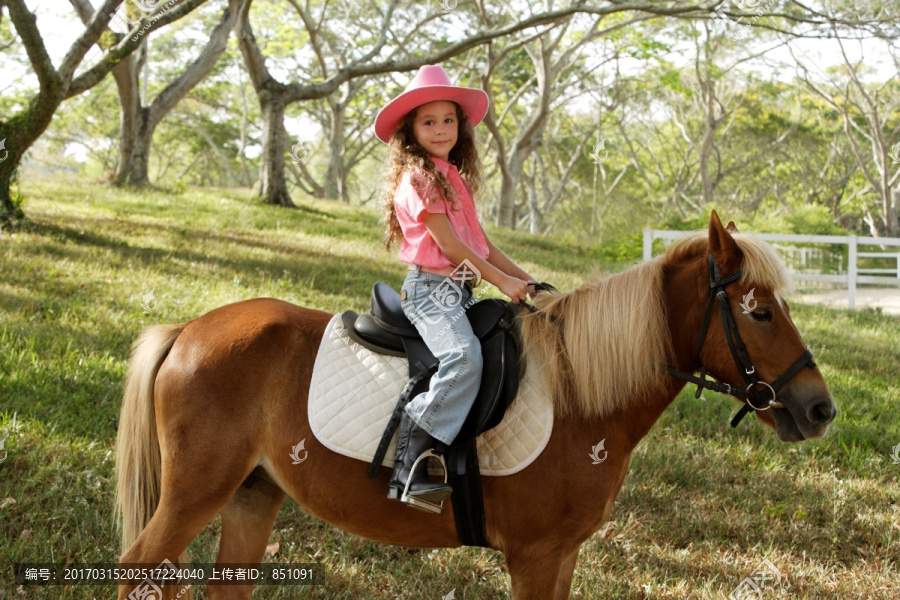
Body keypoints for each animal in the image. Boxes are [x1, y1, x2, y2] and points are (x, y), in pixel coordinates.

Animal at [114, 212, 836, 600]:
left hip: (253, 491)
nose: (820, 410)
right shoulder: (535, 554)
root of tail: (189, 330)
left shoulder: (562, 554)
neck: (578, 395)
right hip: (198, 490)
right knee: (139, 570)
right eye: (761, 312)